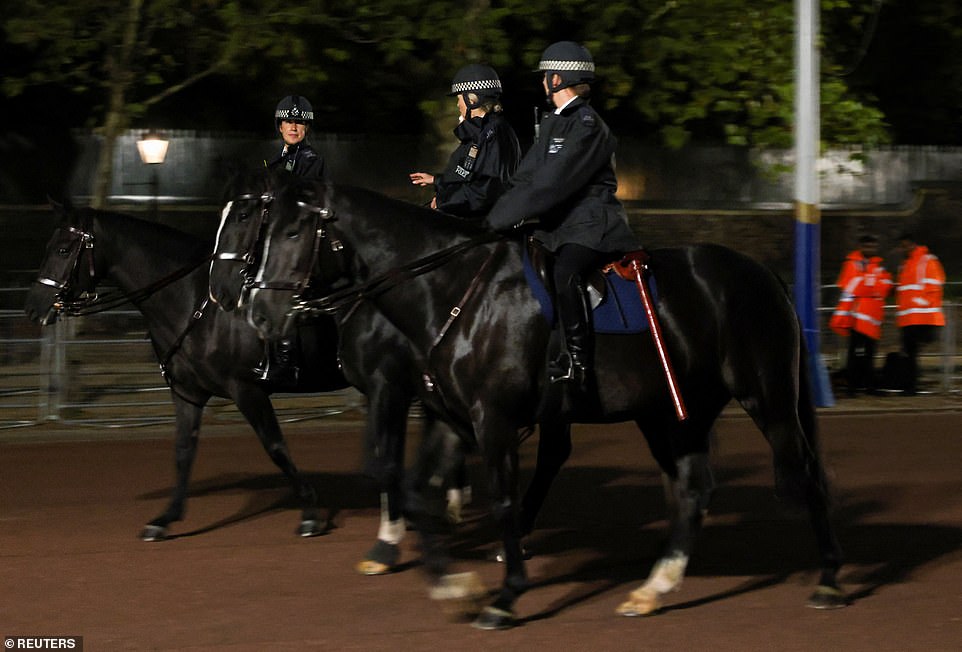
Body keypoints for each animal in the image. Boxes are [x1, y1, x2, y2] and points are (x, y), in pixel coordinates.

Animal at [24, 202, 344, 540]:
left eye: (62, 249)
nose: (33, 307)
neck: (199, 303)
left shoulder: (247, 389)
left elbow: (275, 447)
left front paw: (310, 512)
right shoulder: (187, 393)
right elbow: (183, 452)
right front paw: (165, 518)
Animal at [244, 177, 844, 628]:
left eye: (294, 230)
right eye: (263, 231)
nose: (257, 313)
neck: (452, 291)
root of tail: (764, 274)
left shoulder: (491, 419)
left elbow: (502, 501)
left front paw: (506, 595)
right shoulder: (448, 417)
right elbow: (414, 490)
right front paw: (453, 586)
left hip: (767, 398)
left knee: (807, 473)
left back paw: (831, 581)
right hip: (674, 415)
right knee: (695, 490)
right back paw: (654, 587)